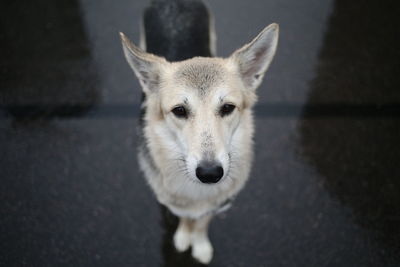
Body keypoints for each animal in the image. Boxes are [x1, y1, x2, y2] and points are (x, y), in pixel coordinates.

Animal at [120, 0, 280, 264]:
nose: (210, 173)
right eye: (179, 110)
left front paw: (200, 245)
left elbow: (203, 222)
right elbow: (186, 219)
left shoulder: (217, 204)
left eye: (227, 108)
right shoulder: (177, 204)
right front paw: (184, 237)